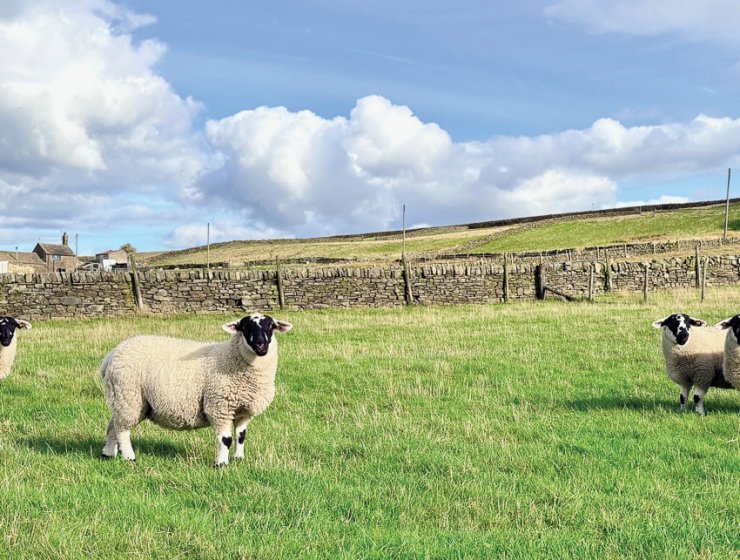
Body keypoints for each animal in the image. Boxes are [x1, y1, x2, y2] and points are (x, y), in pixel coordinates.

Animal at [100, 313, 293, 466]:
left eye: (271, 326)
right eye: (244, 327)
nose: (261, 345)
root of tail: (112, 354)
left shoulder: (243, 411)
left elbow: (241, 436)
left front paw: (239, 459)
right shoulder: (219, 406)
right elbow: (226, 439)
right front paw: (221, 464)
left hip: (123, 399)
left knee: (113, 425)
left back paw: (108, 453)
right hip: (128, 396)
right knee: (122, 430)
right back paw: (129, 457)